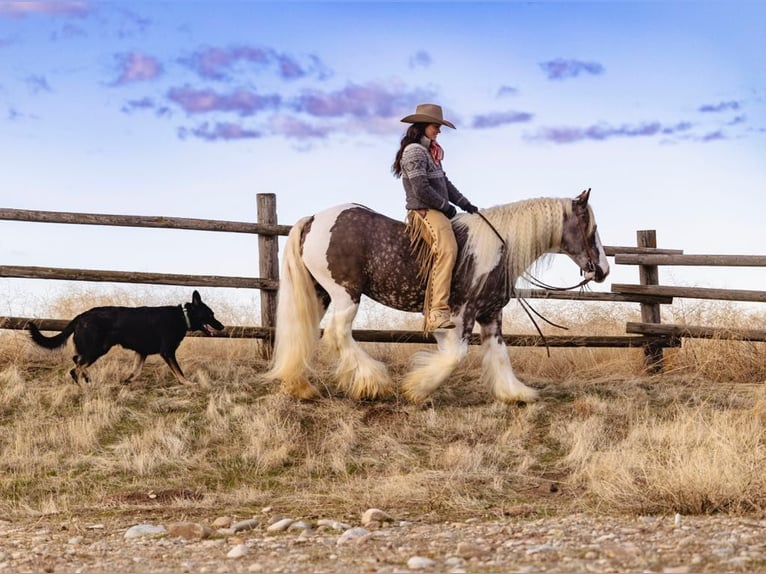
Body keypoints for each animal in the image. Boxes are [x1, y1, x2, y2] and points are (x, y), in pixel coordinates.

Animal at [27, 292, 225, 388]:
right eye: (210, 314)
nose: (222, 326)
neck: (182, 316)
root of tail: (81, 316)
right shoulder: (167, 352)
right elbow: (179, 372)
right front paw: (188, 383)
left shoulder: (141, 353)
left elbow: (136, 371)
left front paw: (126, 381)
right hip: (97, 349)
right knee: (75, 369)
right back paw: (84, 387)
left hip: (96, 348)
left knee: (77, 361)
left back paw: (88, 379)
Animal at [268, 189, 608, 404]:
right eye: (591, 228)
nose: (602, 269)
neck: (498, 248)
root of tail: (314, 219)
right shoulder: (462, 312)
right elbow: (455, 356)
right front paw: (417, 388)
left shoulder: (490, 314)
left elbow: (499, 353)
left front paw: (515, 394)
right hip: (345, 294)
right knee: (338, 333)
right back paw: (374, 383)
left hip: (320, 294)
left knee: (303, 333)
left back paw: (300, 387)